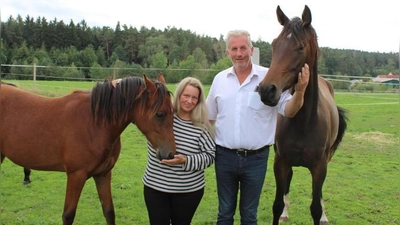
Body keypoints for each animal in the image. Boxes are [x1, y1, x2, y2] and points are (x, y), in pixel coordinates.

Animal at [0, 74, 176, 225]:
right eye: (160, 114)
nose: (170, 154)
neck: (94, 123)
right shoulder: (76, 176)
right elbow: (68, 215)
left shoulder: (103, 174)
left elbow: (109, 212)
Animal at [258, 4, 348, 225]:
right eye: (274, 44)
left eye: (300, 47)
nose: (266, 90)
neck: (303, 122)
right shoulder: (280, 162)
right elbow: (276, 204)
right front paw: (281, 211)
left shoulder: (319, 168)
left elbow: (315, 207)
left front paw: (320, 214)